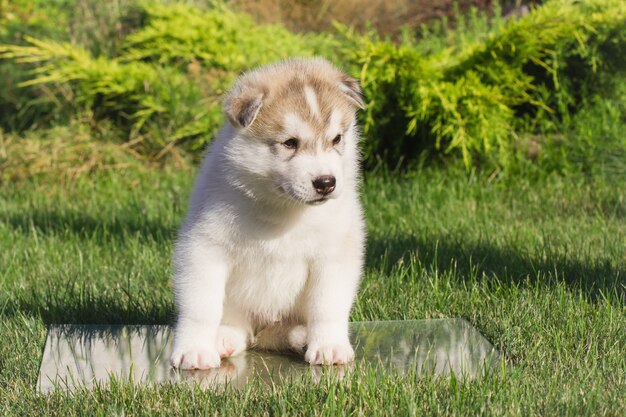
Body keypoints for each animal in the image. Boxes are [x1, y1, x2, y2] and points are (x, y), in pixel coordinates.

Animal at [171, 57, 366, 368]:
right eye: (289, 143)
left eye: (336, 139)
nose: (326, 182)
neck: (283, 209)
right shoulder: (204, 247)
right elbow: (201, 307)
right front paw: (194, 350)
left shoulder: (334, 253)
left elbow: (327, 305)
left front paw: (329, 346)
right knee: (237, 326)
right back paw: (223, 339)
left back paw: (301, 337)